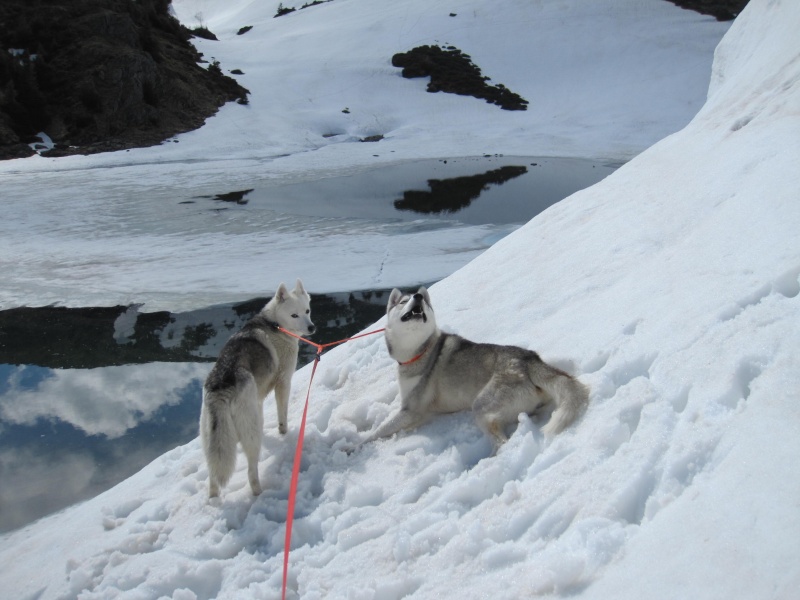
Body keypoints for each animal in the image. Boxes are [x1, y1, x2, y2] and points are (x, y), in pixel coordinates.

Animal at [198, 280, 314, 496]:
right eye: (294, 315)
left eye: (307, 310)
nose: (312, 328)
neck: (275, 324)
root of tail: (222, 387)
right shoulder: (284, 381)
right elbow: (282, 415)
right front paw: (284, 433)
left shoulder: (258, 399)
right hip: (248, 435)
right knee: (251, 472)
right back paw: (259, 492)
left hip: (211, 441)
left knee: (213, 475)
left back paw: (213, 498)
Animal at [362, 288, 588, 452]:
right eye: (403, 302)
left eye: (423, 301)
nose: (418, 296)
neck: (419, 350)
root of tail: (528, 358)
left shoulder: (411, 410)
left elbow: (379, 430)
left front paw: (358, 444)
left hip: (480, 405)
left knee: (501, 440)